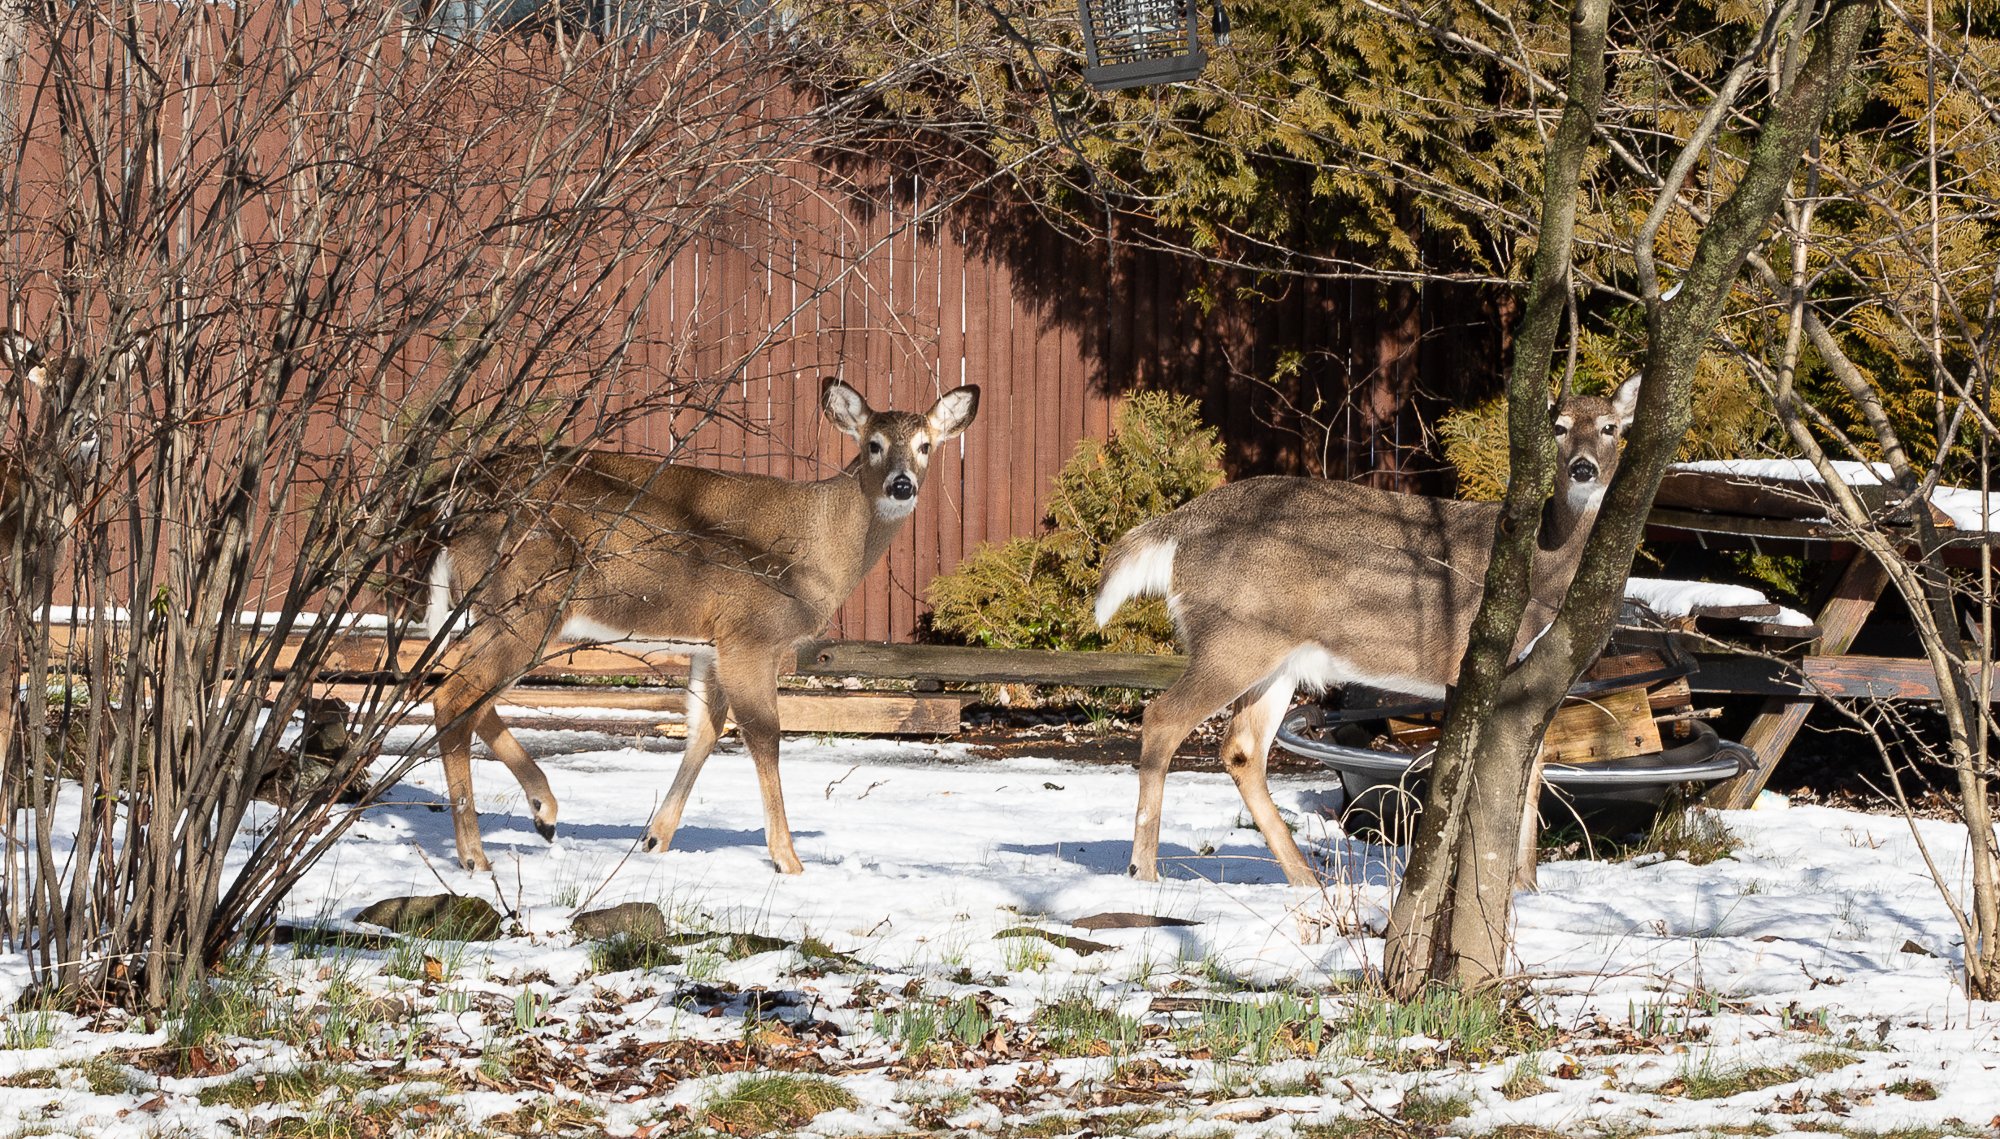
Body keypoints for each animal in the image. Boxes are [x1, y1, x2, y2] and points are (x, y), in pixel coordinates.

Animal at [426, 379, 980, 867]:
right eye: (873, 444)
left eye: (926, 445)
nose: (901, 485)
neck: (817, 547)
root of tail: (459, 498)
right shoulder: (750, 633)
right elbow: (764, 734)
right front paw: (788, 861)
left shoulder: (710, 645)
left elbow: (705, 731)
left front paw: (655, 839)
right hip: (524, 602)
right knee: (454, 694)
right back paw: (476, 854)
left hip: (505, 610)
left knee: (458, 689)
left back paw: (544, 812)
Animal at [1096, 377, 1640, 883]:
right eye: (1559, 428)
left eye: (1611, 428)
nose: (1583, 468)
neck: (1545, 564)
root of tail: (1180, 528)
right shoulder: (1469, 658)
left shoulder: (1537, 679)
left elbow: (1530, 771)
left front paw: (1525, 885)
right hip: (1234, 639)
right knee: (1163, 718)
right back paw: (1144, 873)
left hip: (1275, 658)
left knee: (1242, 750)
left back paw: (1305, 880)